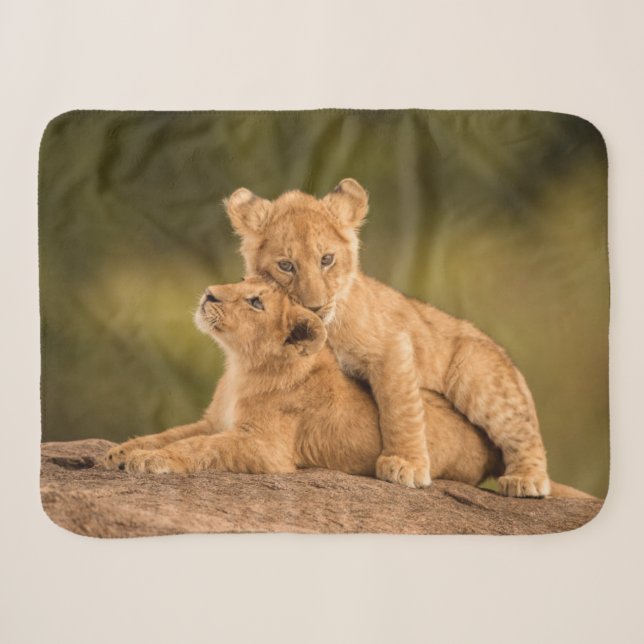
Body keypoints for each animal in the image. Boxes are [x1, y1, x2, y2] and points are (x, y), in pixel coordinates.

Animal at [224, 179, 551, 496]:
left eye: (326, 259)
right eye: (286, 265)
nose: (315, 306)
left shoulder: (392, 345)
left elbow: (400, 409)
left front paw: (406, 465)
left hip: (477, 371)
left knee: (523, 429)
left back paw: (527, 480)